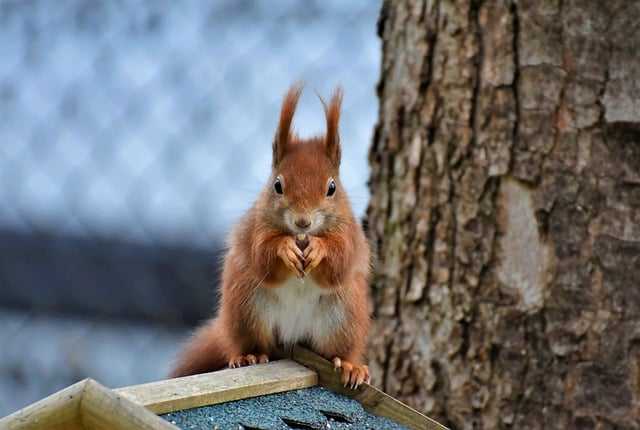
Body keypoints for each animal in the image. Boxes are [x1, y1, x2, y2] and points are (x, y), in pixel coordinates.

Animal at [169, 85, 370, 388]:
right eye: (277, 185)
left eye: (332, 188)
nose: (302, 222)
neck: (302, 237)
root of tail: (292, 337)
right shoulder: (256, 228)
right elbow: (262, 256)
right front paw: (284, 248)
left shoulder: (350, 235)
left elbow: (340, 261)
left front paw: (319, 248)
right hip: (246, 307)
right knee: (249, 343)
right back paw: (248, 356)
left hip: (345, 316)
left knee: (337, 350)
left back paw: (349, 366)